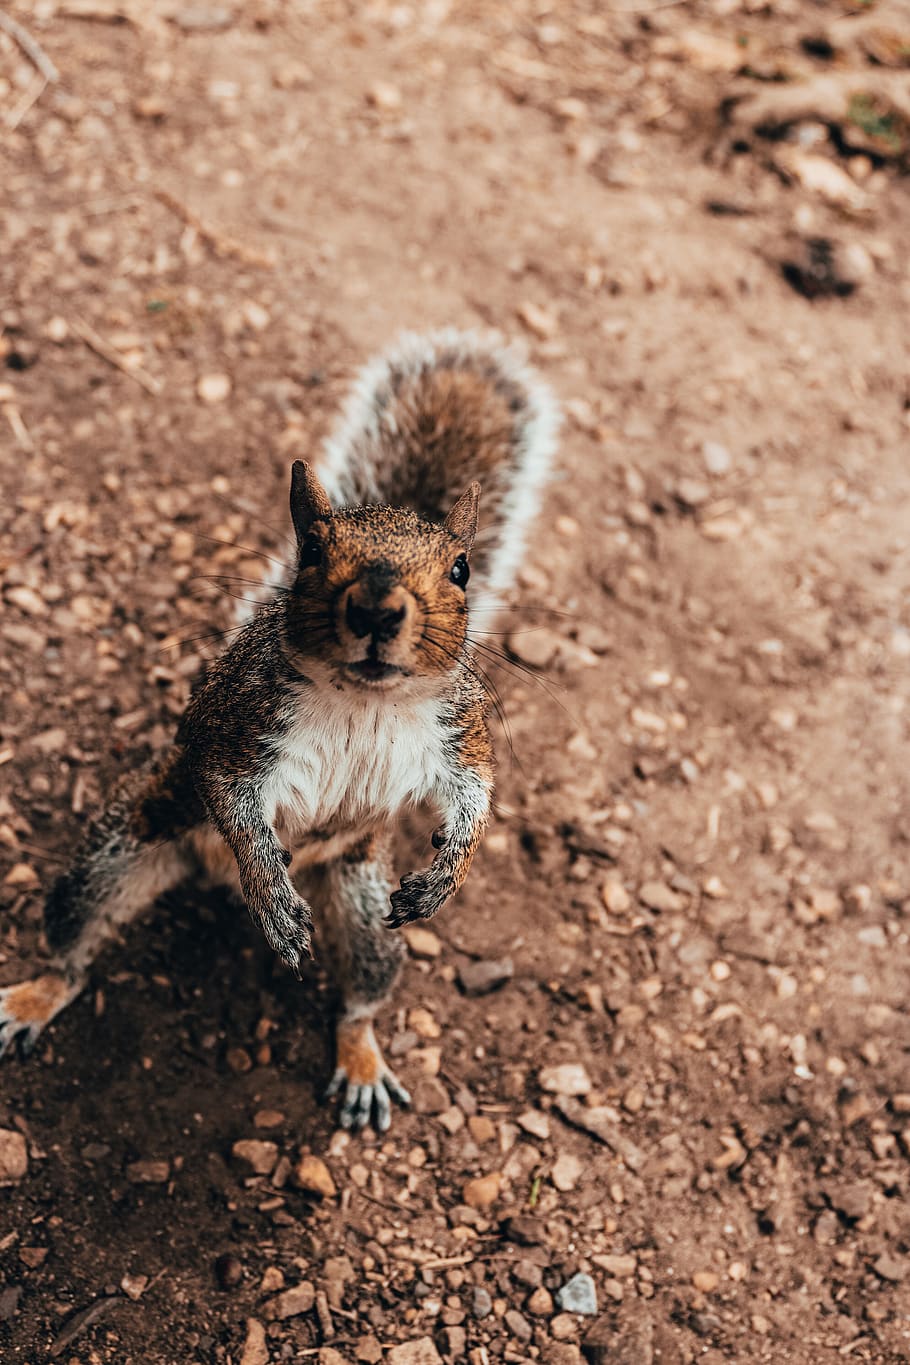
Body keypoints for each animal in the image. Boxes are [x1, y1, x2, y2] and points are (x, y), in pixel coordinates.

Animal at [0, 329, 558, 1132]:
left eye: (461, 568)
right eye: (313, 554)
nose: (378, 608)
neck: (365, 697)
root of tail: (203, 875)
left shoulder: (459, 729)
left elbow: (478, 793)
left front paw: (448, 871)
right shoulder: (238, 726)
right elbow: (233, 799)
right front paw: (269, 890)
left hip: (364, 909)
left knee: (361, 996)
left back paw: (361, 1061)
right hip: (123, 847)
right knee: (74, 946)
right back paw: (36, 994)